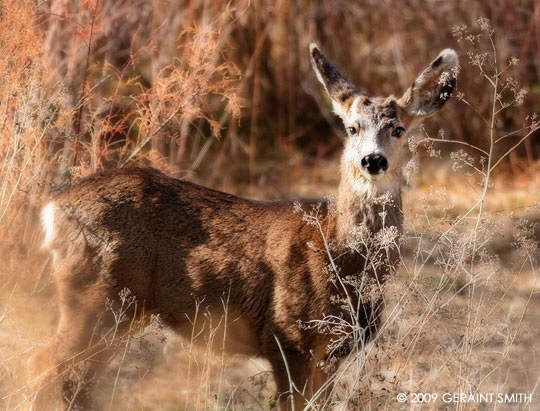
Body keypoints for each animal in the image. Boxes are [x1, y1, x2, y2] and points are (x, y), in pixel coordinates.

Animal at [29, 43, 458, 410]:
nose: (373, 160)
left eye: (398, 129)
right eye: (352, 128)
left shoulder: (333, 351)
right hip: (94, 294)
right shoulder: (287, 336)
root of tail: (51, 208)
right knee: (46, 365)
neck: (340, 255)